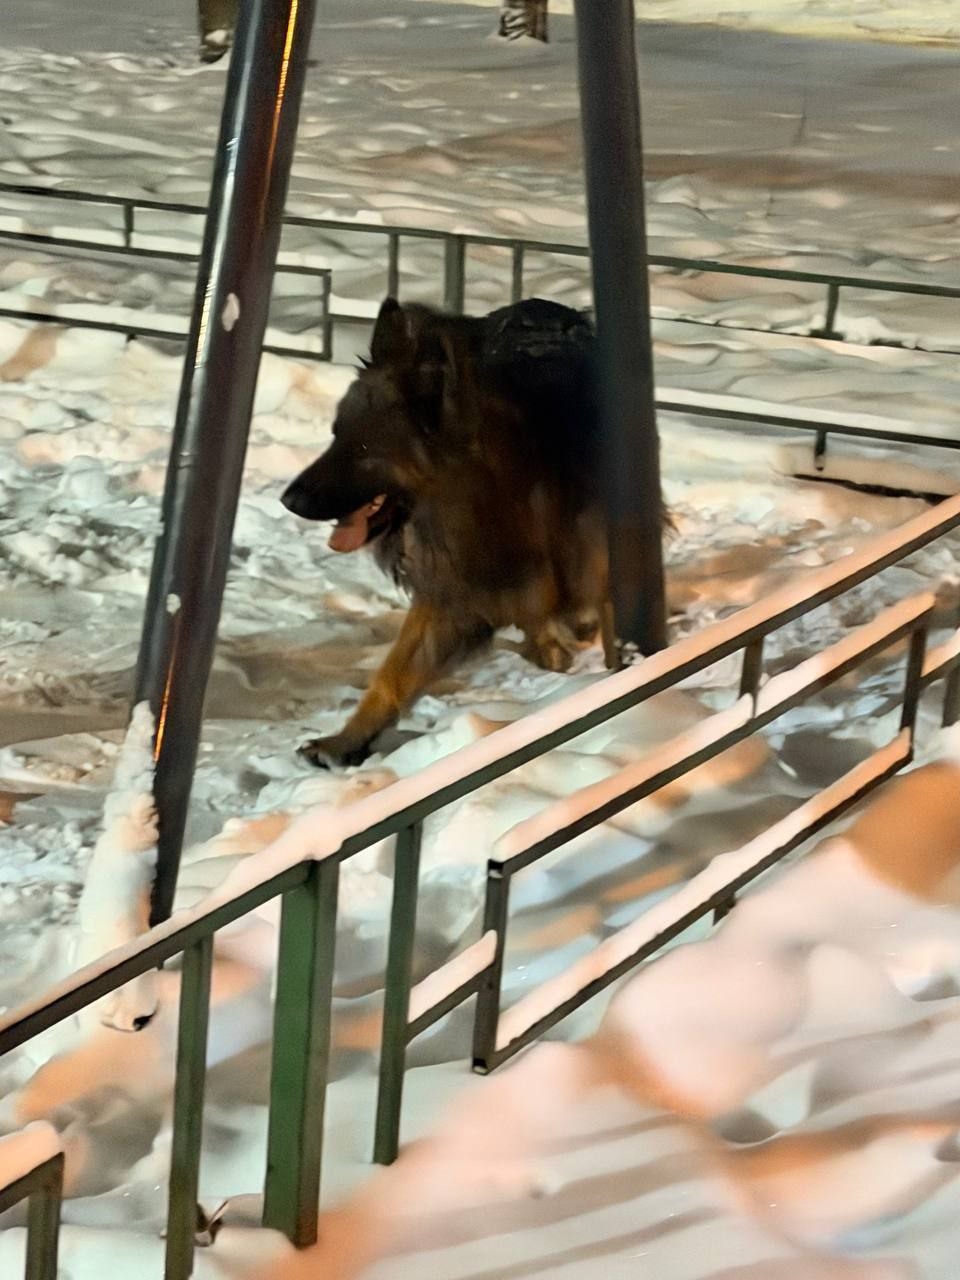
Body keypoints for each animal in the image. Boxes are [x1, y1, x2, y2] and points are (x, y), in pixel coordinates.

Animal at [282, 296, 624, 768]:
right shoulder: (453, 587)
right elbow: (393, 674)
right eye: (335, 435)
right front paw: (346, 741)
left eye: (364, 449)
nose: (288, 499)